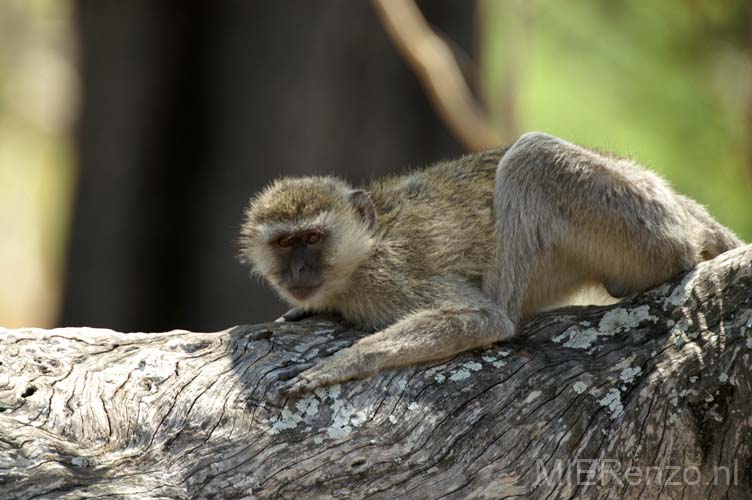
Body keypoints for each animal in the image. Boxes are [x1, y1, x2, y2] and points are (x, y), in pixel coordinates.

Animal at [239, 132, 740, 394]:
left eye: (312, 238)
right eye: (284, 244)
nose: (299, 271)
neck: (363, 252)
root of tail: (675, 202)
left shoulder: (394, 276)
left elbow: (482, 318)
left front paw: (339, 364)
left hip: (649, 226)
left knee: (530, 158)